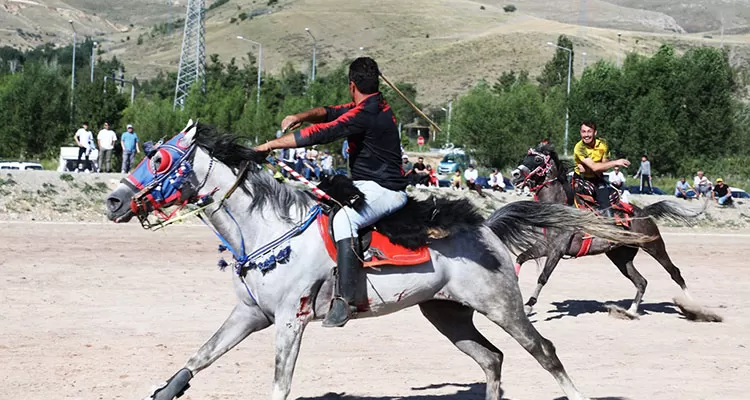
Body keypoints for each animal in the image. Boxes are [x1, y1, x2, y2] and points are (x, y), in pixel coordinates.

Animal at [106, 121, 652, 400]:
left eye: (158, 159)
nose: (113, 200)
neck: (268, 228)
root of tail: (488, 232)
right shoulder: (250, 314)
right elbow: (201, 355)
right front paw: (166, 390)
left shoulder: (289, 321)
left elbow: (279, 384)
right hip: (446, 312)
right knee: (491, 359)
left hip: (503, 306)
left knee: (543, 351)